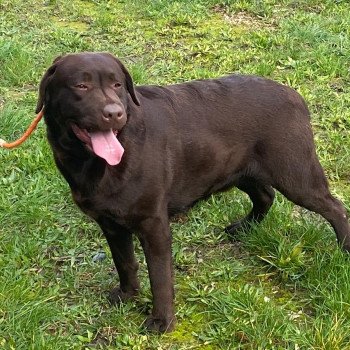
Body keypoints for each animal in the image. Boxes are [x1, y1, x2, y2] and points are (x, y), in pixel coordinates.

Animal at [37, 52, 350, 330]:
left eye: (117, 85)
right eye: (81, 85)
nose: (115, 113)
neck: (96, 162)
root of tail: (295, 95)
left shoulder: (154, 224)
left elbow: (160, 278)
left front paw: (162, 322)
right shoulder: (111, 224)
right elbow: (125, 262)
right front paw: (128, 295)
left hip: (297, 176)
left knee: (335, 207)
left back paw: (345, 249)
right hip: (237, 169)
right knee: (265, 195)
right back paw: (244, 227)